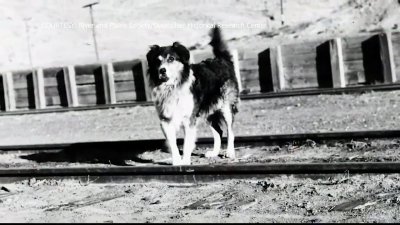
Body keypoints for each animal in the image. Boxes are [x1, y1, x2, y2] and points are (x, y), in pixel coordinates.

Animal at [147, 27, 241, 166]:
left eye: (171, 59)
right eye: (157, 61)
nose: (162, 70)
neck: (172, 86)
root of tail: (222, 60)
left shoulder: (189, 119)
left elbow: (187, 143)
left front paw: (185, 161)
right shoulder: (165, 120)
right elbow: (172, 143)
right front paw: (177, 162)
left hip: (226, 107)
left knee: (230, 130)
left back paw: (229, 152)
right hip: (208, 110)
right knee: (218, 131)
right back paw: (214, 153)